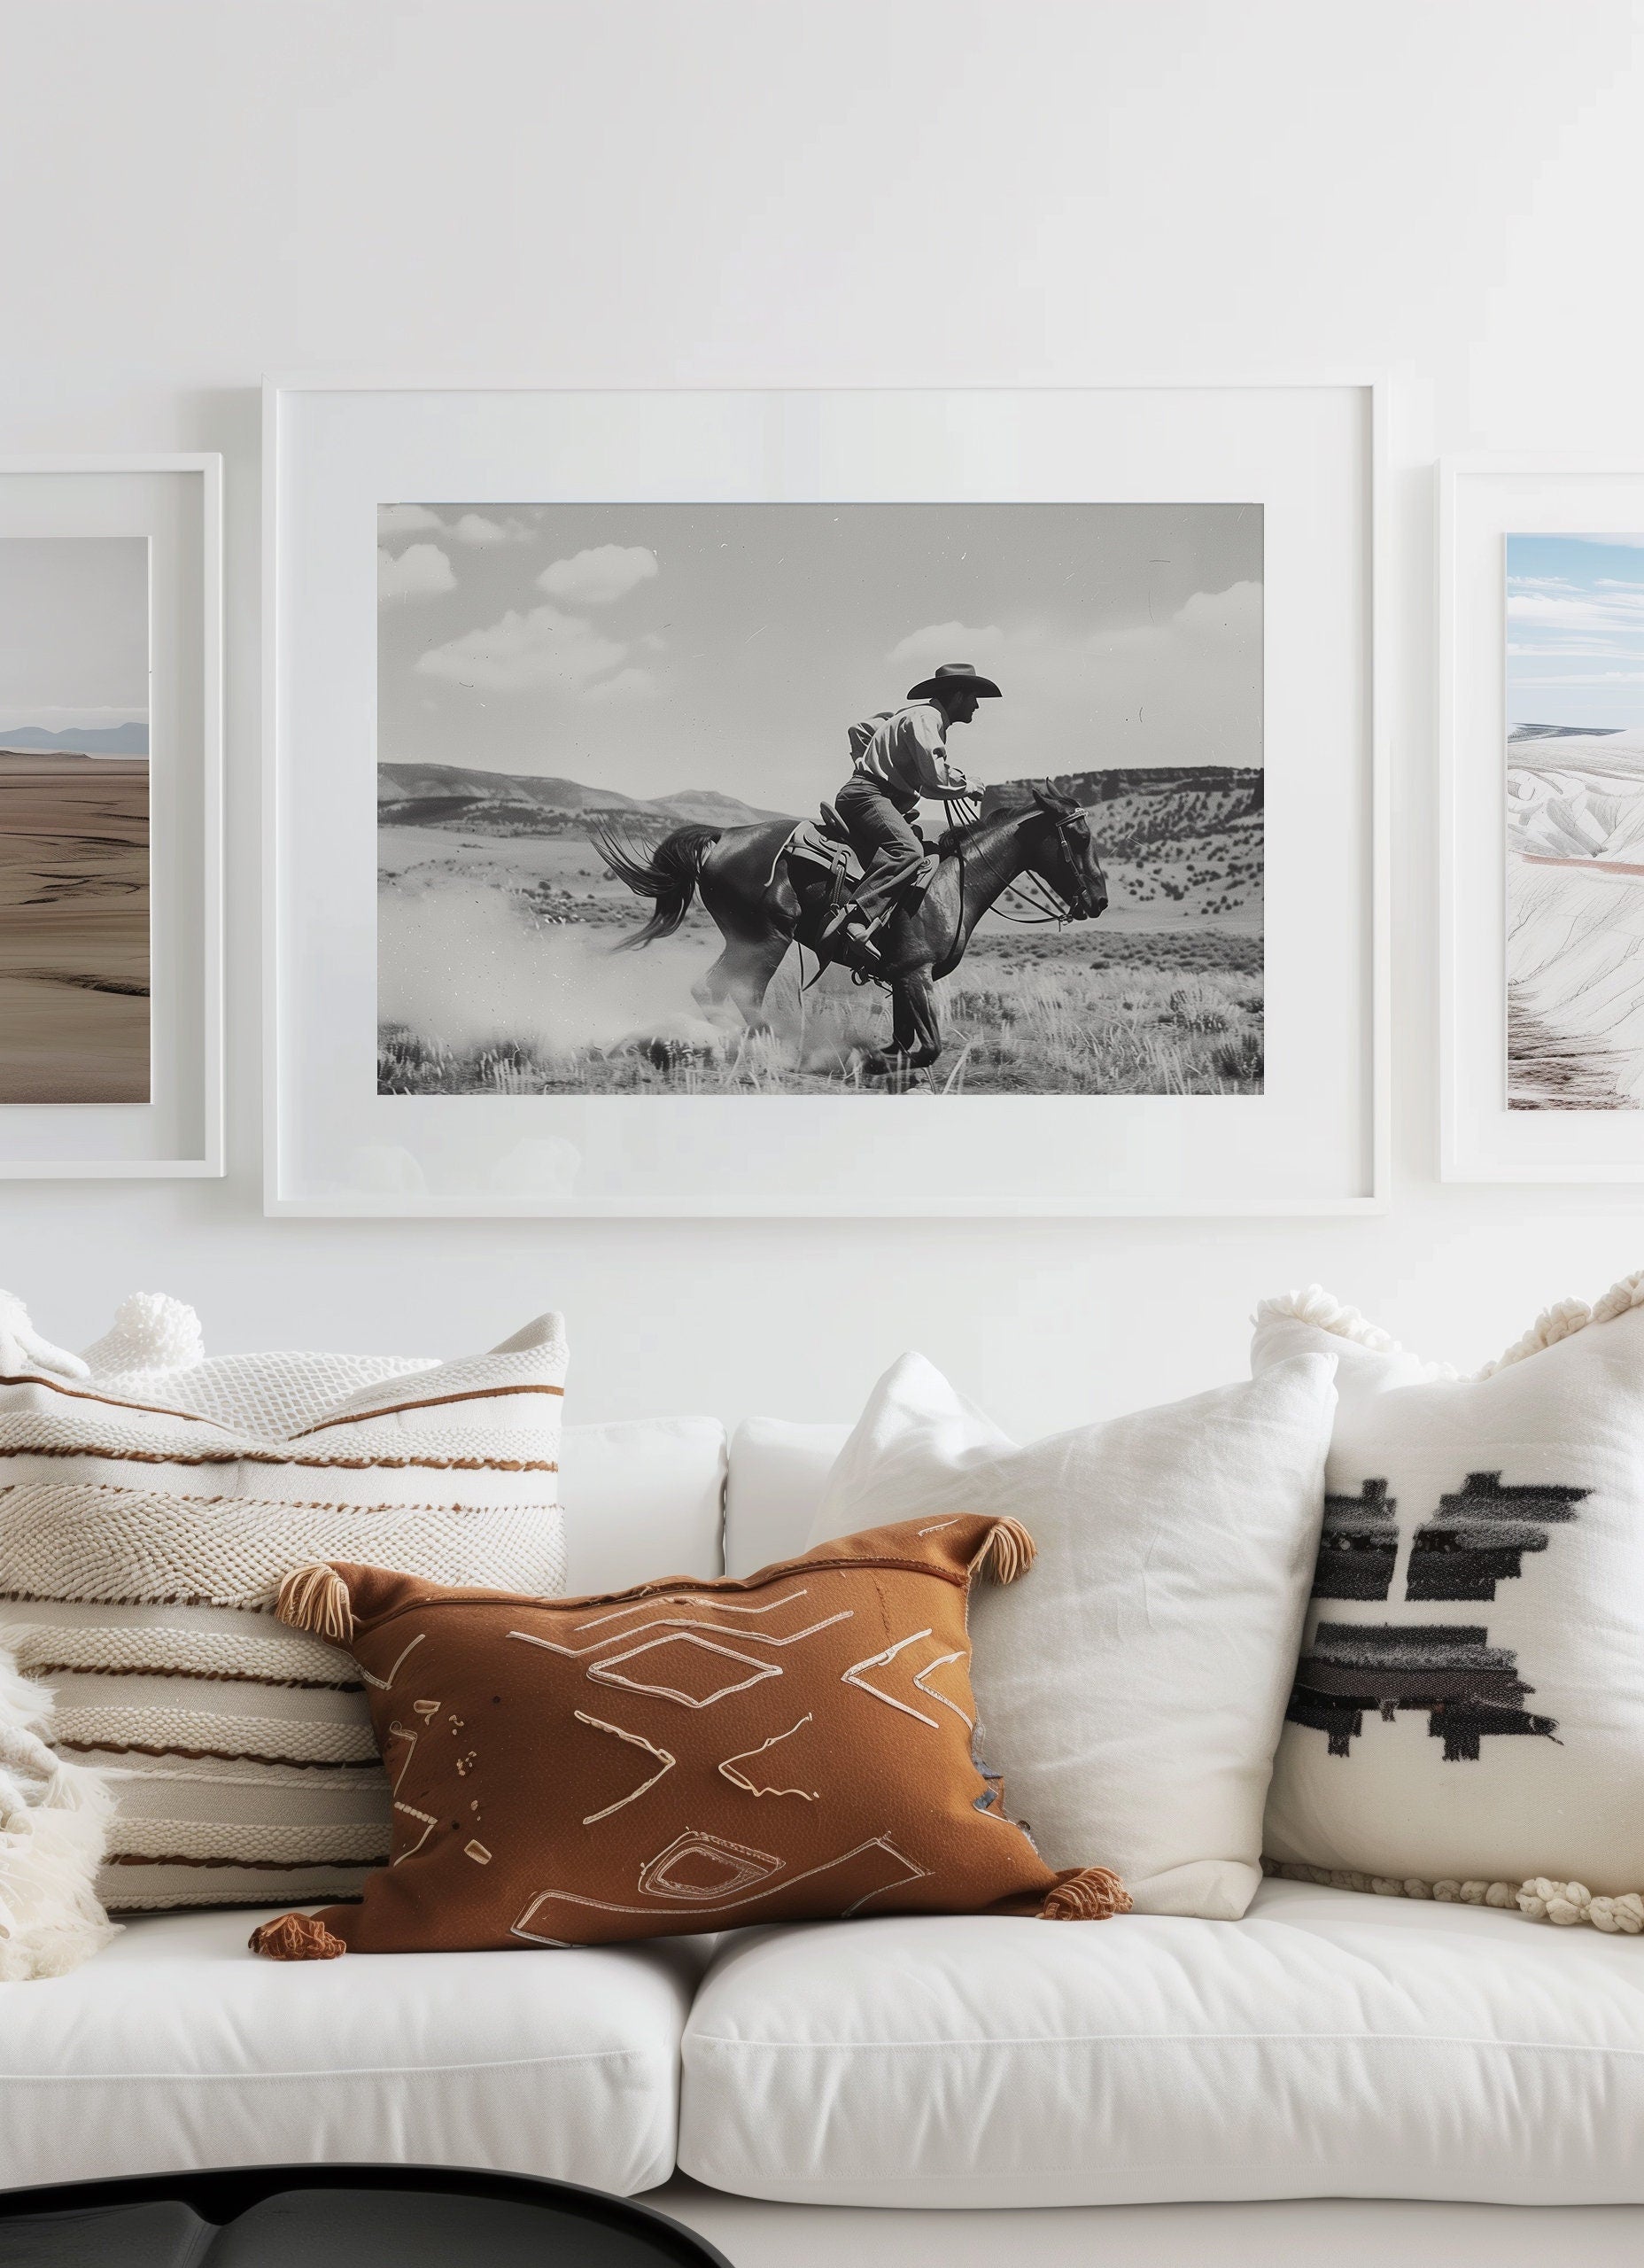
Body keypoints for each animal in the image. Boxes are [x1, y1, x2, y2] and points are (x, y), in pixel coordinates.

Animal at [585, 784, 1102, 1075]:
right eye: (1079, 837)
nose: (1099, 900)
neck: (954, 881)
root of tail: (722, 836)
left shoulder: (901, 978)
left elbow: (905, 1040)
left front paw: (882, 1062)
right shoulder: (916, 974)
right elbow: (929, 1047)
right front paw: (868, 1060)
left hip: (746, 939)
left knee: (712, 989)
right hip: (765, 940)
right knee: (734, 991)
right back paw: (772, 1046)